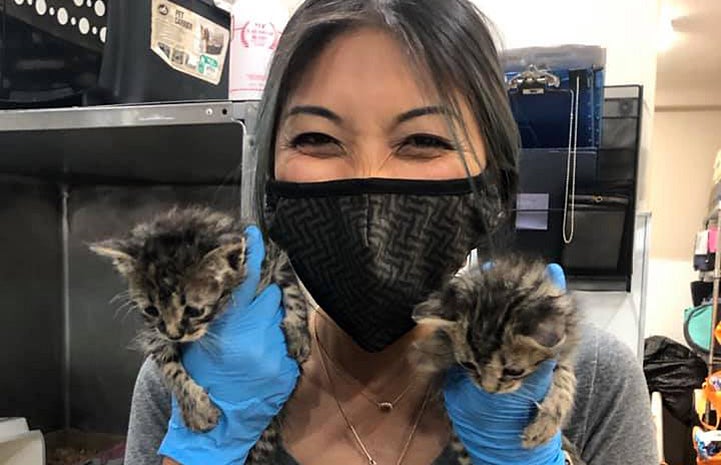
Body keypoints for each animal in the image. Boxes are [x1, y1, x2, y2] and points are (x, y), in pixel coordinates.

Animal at [90, 207, 310, 446]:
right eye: (152, 310)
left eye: (194, 311)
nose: (175, 335)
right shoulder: (155, 333)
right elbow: (169, 364)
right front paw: (197, 411)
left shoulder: (270, 257)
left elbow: (291, 287)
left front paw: (298, 336)